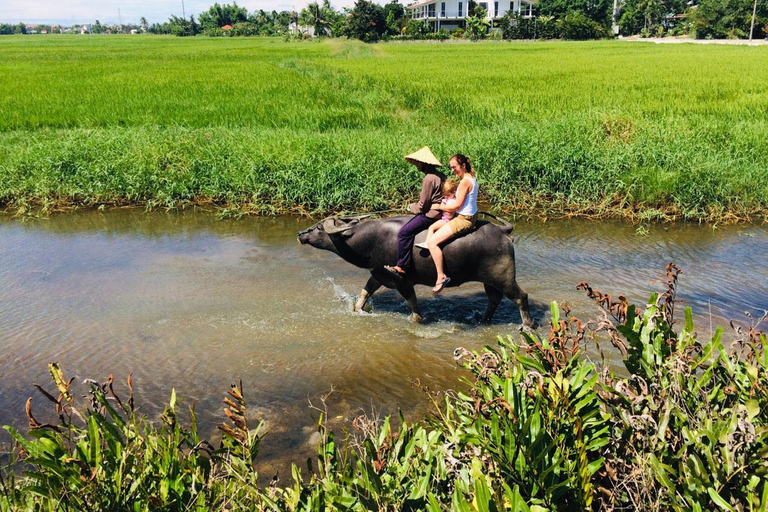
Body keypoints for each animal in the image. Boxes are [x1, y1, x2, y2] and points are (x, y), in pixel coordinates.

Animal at [298, 213, 536, 326]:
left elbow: (413, 305)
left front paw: (416, 319)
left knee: (521, 296)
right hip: (490, 280)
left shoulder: (402, 281)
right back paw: (482, 320)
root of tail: (504, 231)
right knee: (494, 299)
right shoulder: (378, 275)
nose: (301, 234)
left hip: (504, 278)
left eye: (319, 228)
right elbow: (364, 294)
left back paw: (528, 325)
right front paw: (357, 309)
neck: (369, 241)